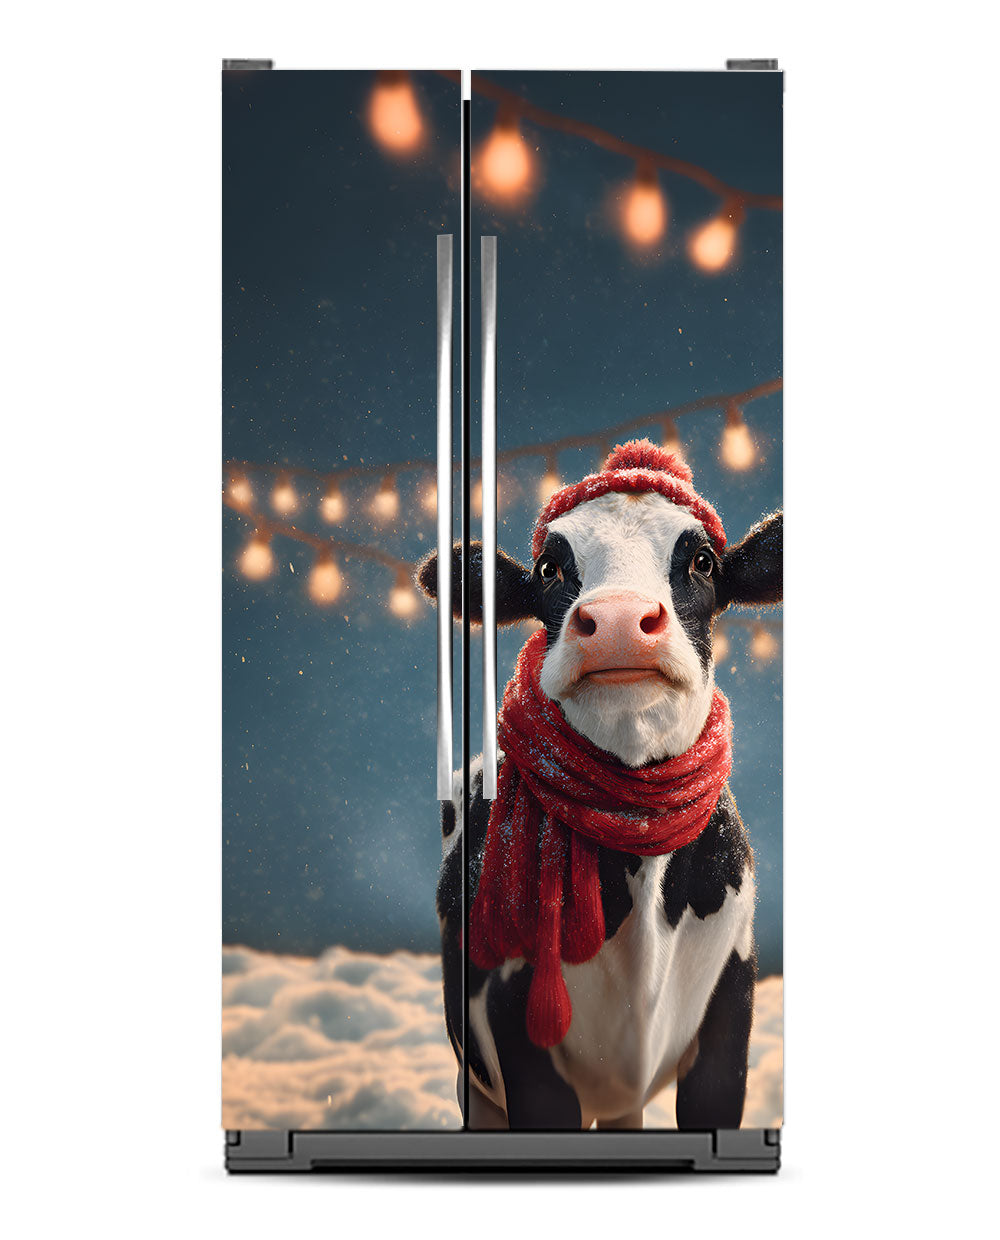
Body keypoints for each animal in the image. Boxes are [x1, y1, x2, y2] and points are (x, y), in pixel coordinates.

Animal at [418, 446, 781, 1131]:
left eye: (703, 560)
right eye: (549, 567)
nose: (616, 622)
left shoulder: (731, 1010)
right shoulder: (519, 1035)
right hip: (474, 1086)